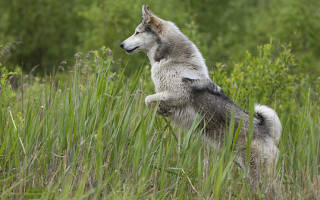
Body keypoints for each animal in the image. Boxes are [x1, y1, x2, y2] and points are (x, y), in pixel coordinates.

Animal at [120, 5, 282, 178]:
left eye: (137, 32)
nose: (121, 45)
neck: (170, 60)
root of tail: (266, 129)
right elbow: (151, 101)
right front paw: (162, 110)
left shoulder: (178, 94)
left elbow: (148, 99)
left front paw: (161, 109)